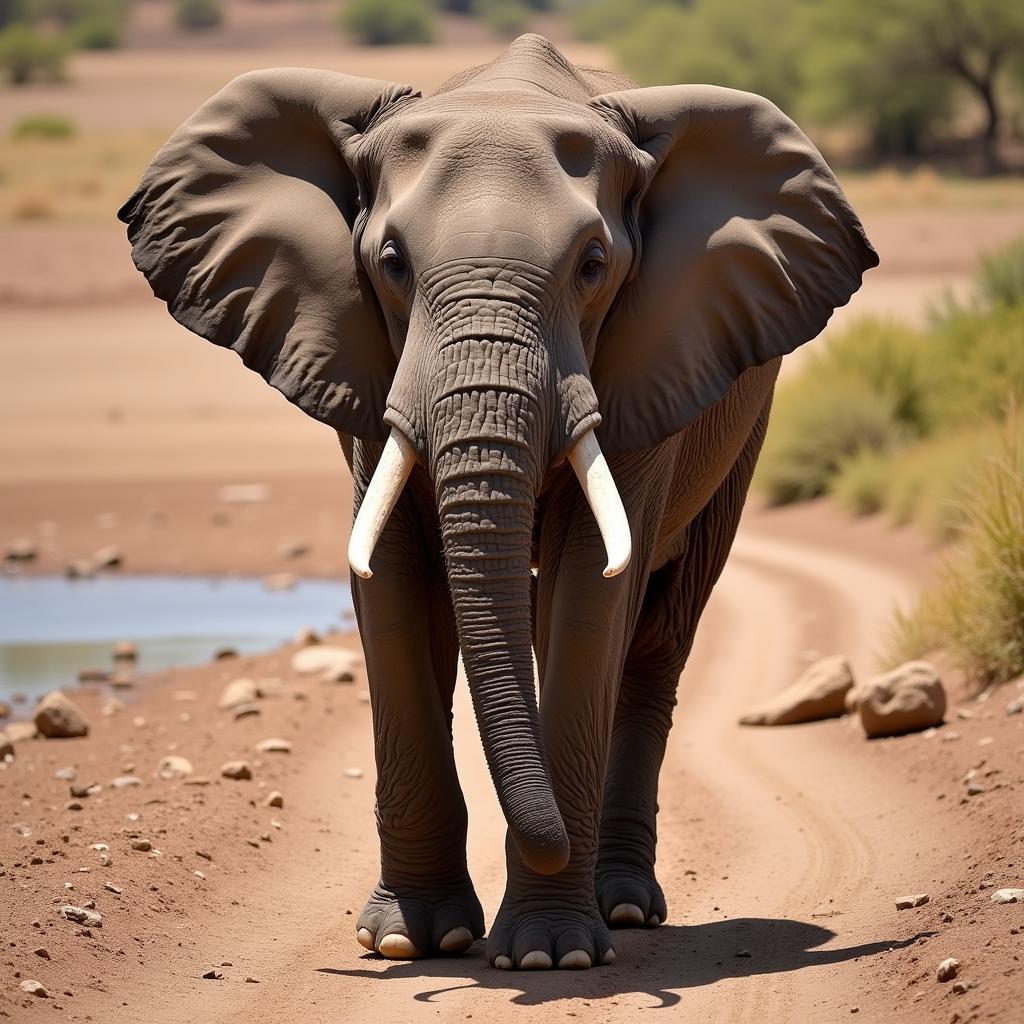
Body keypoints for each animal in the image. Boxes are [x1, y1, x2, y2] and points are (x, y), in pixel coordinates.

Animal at [117, 34, 872, 974]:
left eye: (593, 266)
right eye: (391, 264)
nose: (547, 853)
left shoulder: (645, 360)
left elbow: (591, 592)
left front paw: (552, 956)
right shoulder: (364, 360)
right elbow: (394, 580)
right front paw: (406, 941)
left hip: (741, 421)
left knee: (657, 636)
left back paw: (624, 908)